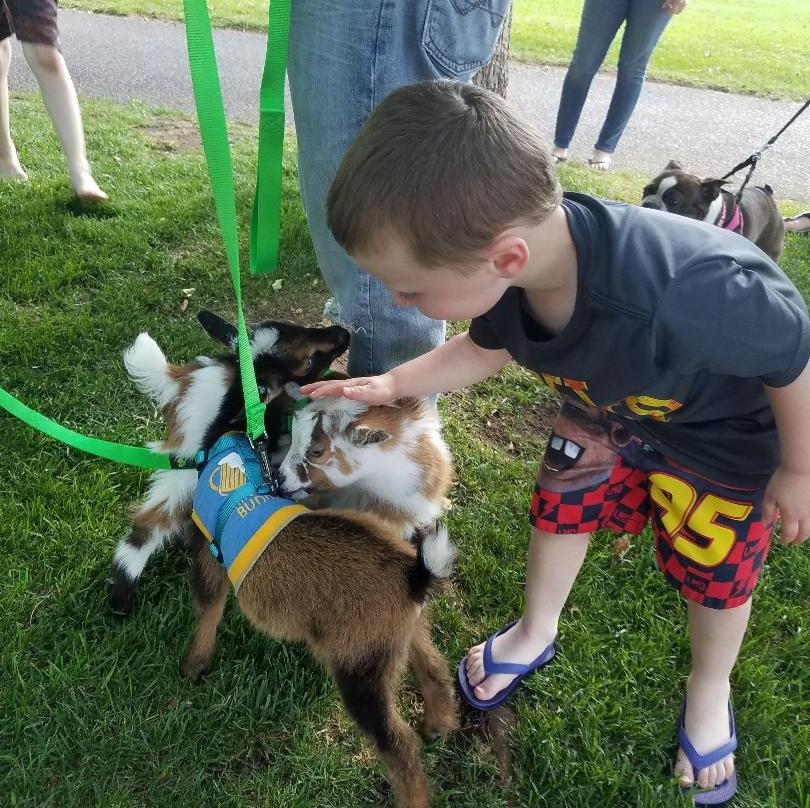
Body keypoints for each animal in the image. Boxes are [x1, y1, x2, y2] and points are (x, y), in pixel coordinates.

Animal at [106, 312, 348, 616]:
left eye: (294, 326)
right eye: (308, 363)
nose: (344, 334)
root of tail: (181, 380)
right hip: (189, 469)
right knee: (155, 519)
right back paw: (122, 597)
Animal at [121, 332, 460, 804]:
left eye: (317, 450)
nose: (280, 481)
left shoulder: (211, 554)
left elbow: (208, 606)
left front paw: (193, 666)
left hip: (361, 663)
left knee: (396, 740)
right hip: (400, 632)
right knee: (433, 666)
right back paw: (439, 725)